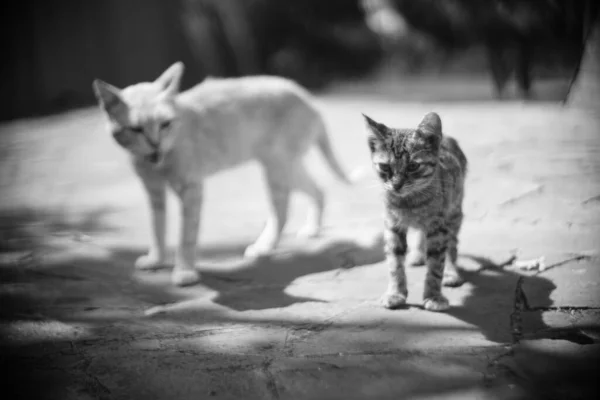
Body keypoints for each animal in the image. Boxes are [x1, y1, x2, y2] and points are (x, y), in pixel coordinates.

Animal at [364, 112, 466, 312]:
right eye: (385, 167)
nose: (396, 185)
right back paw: (418, 255)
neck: (410, 203)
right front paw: (396, 293)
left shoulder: (438, 226)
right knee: (420, 234)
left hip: (454, 212)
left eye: (412, 166)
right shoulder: (392, 224)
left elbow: (436, 264)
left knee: (452, 244)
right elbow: (395, 263)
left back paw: (451, 272)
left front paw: (433, 296)